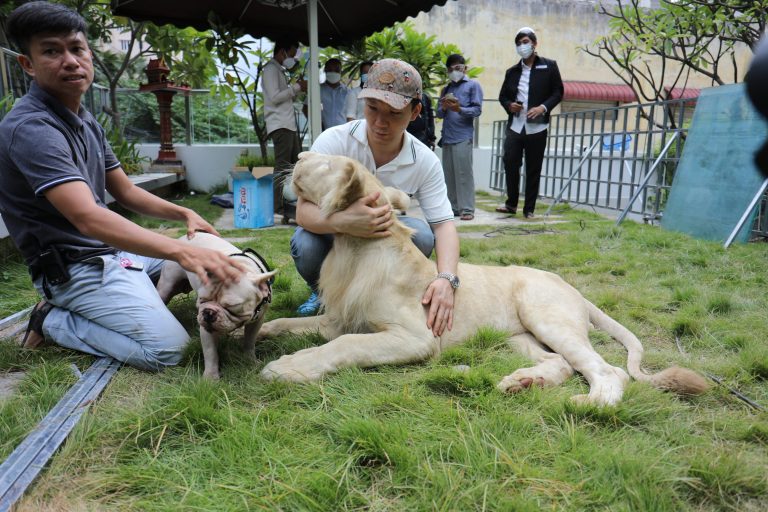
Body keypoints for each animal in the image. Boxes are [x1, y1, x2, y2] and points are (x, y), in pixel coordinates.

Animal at [260, 150, 708, 406]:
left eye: (325, 162)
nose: (300, 152)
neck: (352, 247)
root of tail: (572, 288)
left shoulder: (417, 337)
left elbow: (346, 346)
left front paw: (287, 368)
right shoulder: (337, 318)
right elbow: (284, 322)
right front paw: (261, 330)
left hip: (545, 315)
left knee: (609, 371)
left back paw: (583, 403)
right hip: (518, 337)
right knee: (562, 364)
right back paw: (522, 383)